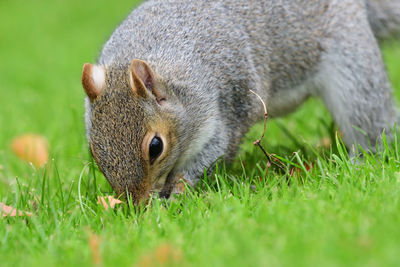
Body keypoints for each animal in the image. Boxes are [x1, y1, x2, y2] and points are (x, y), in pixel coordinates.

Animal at [81, 0, 400, 204]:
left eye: (155, 147)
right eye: (94, 150)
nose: (136, 205)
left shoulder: (227, 109)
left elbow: (213, 153)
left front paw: (176, 194)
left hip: (352, 68)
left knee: (372, 121)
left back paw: (363, 161)